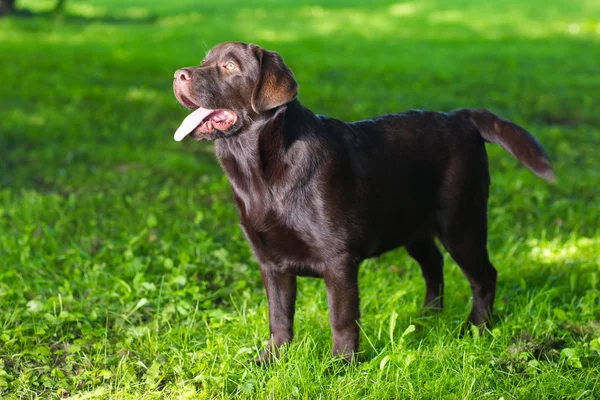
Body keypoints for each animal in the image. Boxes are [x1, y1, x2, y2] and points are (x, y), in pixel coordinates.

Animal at [171, 41, 556, 362]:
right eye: (204, 62)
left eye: (229, 66)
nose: (178, 75)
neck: (260, 175)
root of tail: (460, 117)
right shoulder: (270, 262)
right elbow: (278, 318)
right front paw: (270, 361)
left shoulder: (339, 259)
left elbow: (341, 318)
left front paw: (341, 365)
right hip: (412, 226)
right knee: (434, 265)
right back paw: (428, 316)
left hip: (461, 222)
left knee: (484, 276)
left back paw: (476, 328)